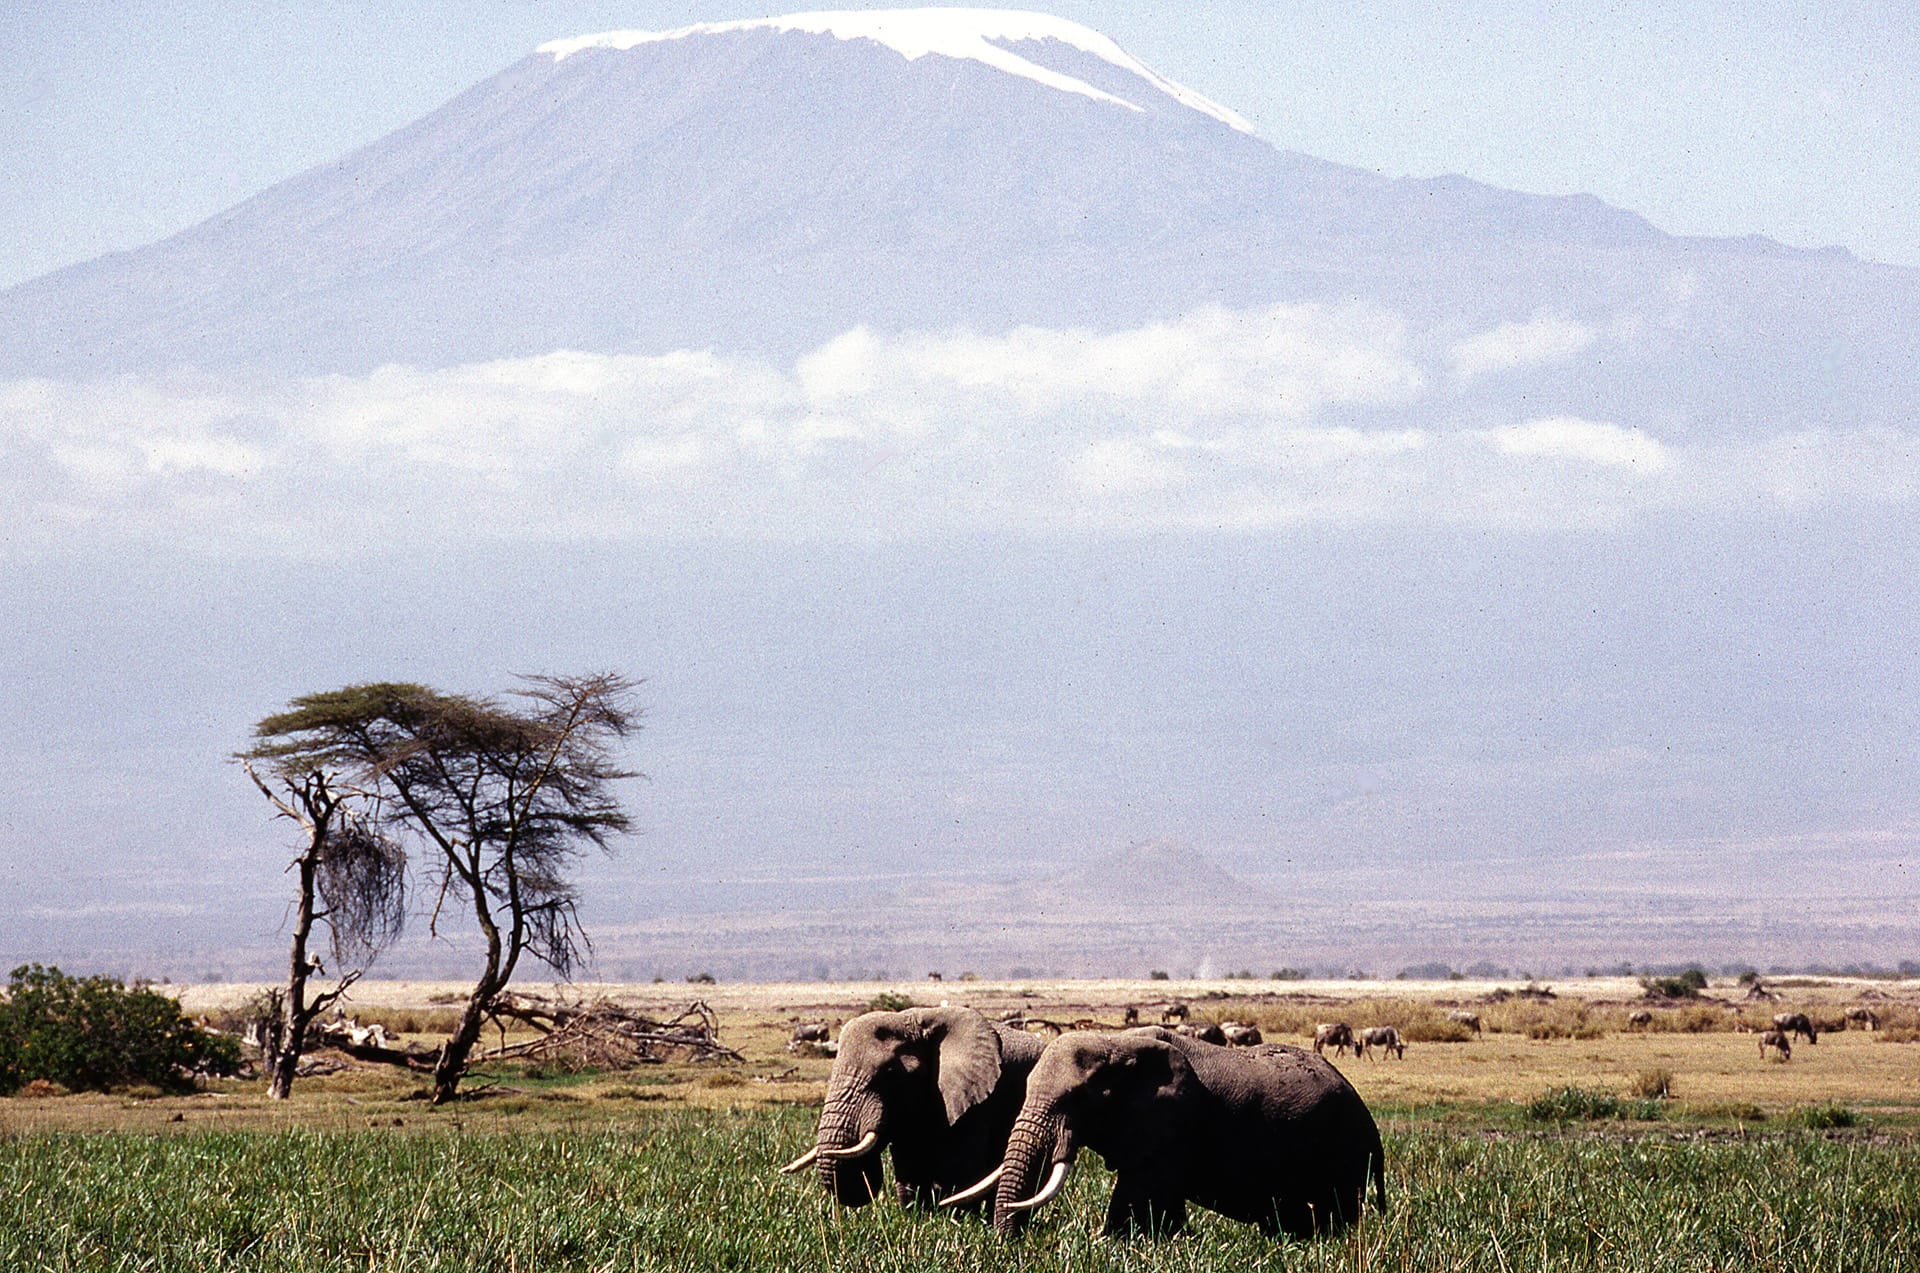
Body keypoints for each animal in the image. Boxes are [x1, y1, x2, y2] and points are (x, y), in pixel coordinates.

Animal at [952, 1029, 1390, 1236]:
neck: (1117, 1044)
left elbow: (1140, 1200)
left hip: (1344, 1153)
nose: (1010, 1242)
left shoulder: (1171, 1124)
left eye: (1078, 1097)